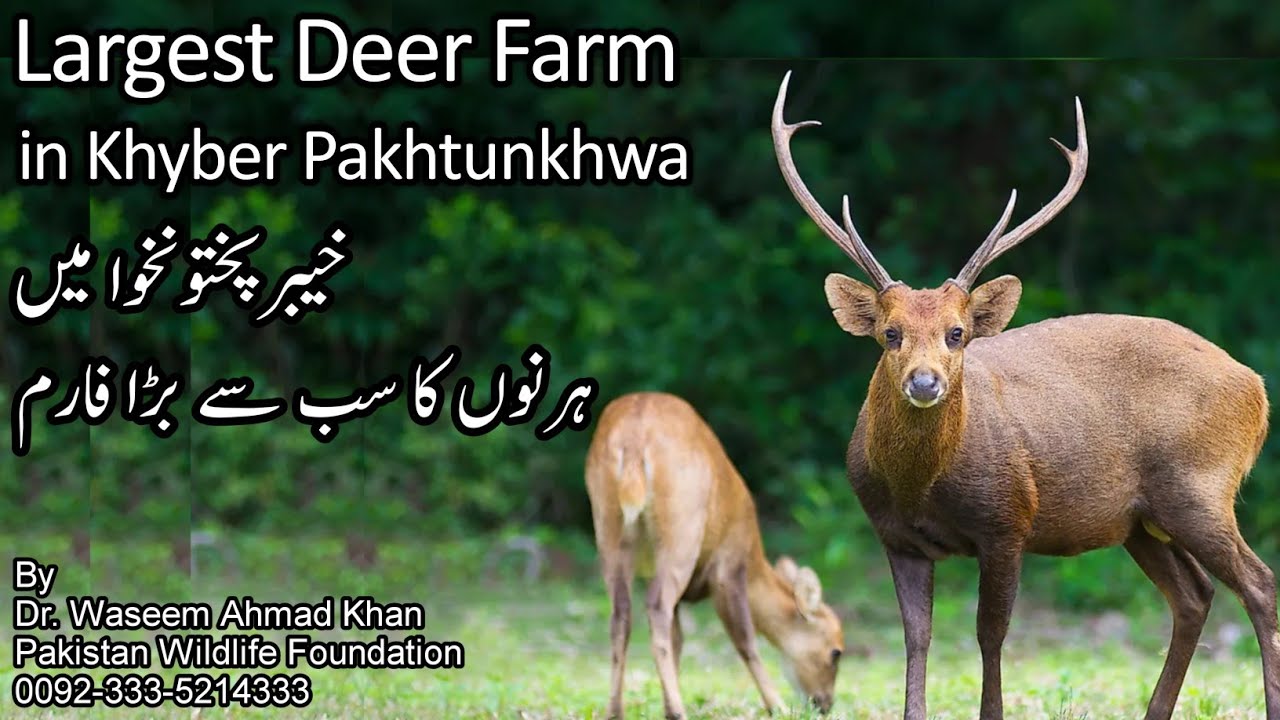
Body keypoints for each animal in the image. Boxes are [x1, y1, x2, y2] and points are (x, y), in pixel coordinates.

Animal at [585, 391, 846, 719]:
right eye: (836, 652)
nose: (824, 704)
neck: (753, 555)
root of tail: (634, 439)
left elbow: (678, 639)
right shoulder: (728, 564)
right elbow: (745, 638)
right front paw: (777, 705)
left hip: (607, 524)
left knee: (621, 615)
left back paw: (616, 710)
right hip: (682, 526)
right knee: (656, 607)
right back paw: (677, 711)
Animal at [771, 71, 1277, 720]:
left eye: (957, 333)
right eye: (890, 333)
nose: (925, 382)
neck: (921, 487)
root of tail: (1256, 388)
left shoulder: (1008, 517)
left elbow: (990, 633)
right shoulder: (894, 535)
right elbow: (916, 637)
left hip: (1201, 485)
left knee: (1258, 583)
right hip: (1141, 518)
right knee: (1195, 594)